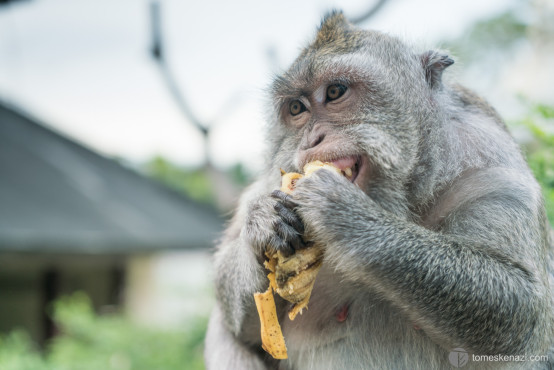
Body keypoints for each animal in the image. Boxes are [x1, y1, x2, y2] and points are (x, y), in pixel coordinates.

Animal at [205, 11, 552, 370]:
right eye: (297, 109)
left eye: (335, 91)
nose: (311, 140)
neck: (408, 196)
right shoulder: (270, 178)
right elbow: (238, 321)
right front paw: (262, 221)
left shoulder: (496, 174)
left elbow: (522, 310)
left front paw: (345, 214)